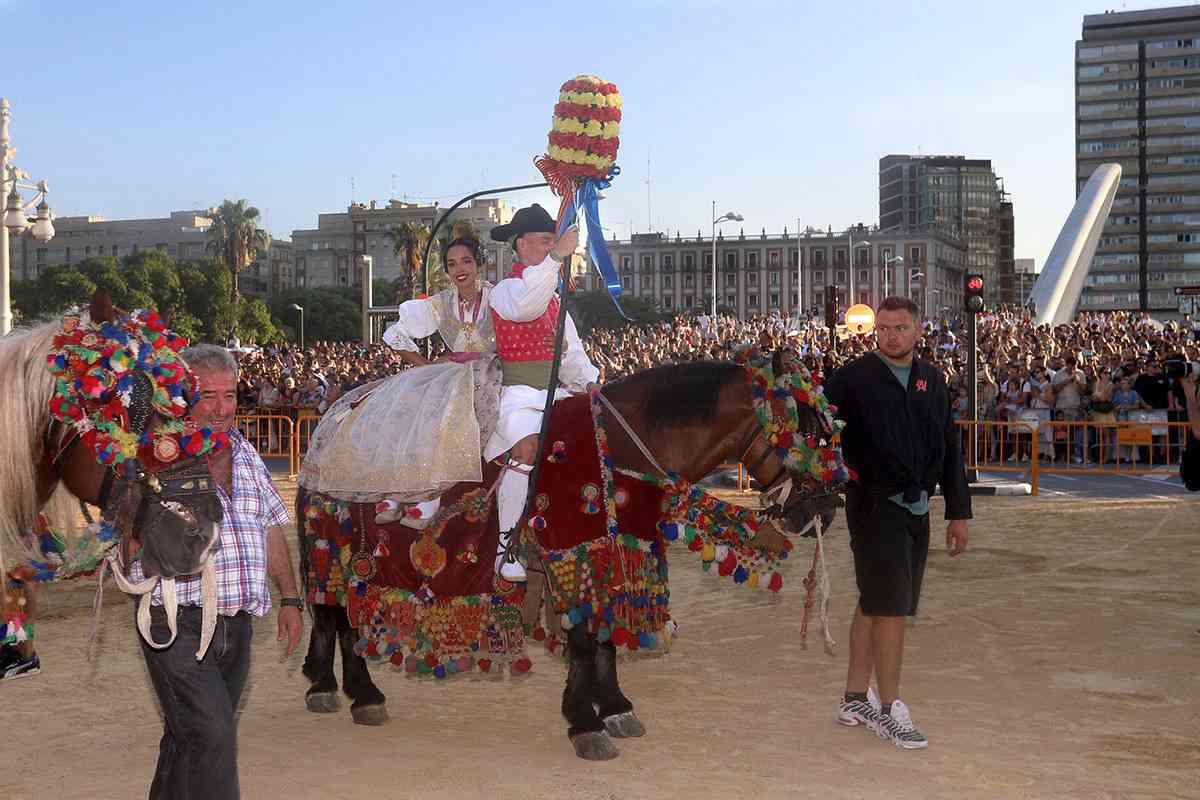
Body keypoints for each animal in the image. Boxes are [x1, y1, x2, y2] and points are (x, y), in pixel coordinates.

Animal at [297, 349, 847, 759]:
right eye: (811, 431)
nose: (830, 505)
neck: (621, 449)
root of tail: (327, 424)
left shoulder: (611, 551)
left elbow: (603, 638)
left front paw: (616, 707)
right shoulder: (575, 551)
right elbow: (585, 640)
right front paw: (586, 723)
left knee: (343, 623)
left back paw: (352, 692)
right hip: (334, 551)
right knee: (333, 618)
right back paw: (342, 690)